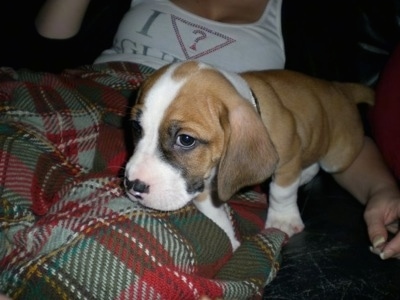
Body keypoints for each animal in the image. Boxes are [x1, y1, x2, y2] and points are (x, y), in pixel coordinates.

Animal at [123, 61, 374, 251]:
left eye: (185, 139)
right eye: (136, 127)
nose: (133, 185)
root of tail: (340, 88)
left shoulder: (287, 159)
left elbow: (282, 192)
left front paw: (282, 220)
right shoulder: (200, 181)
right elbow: (213, 212)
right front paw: (229, 240)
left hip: (338, 158)